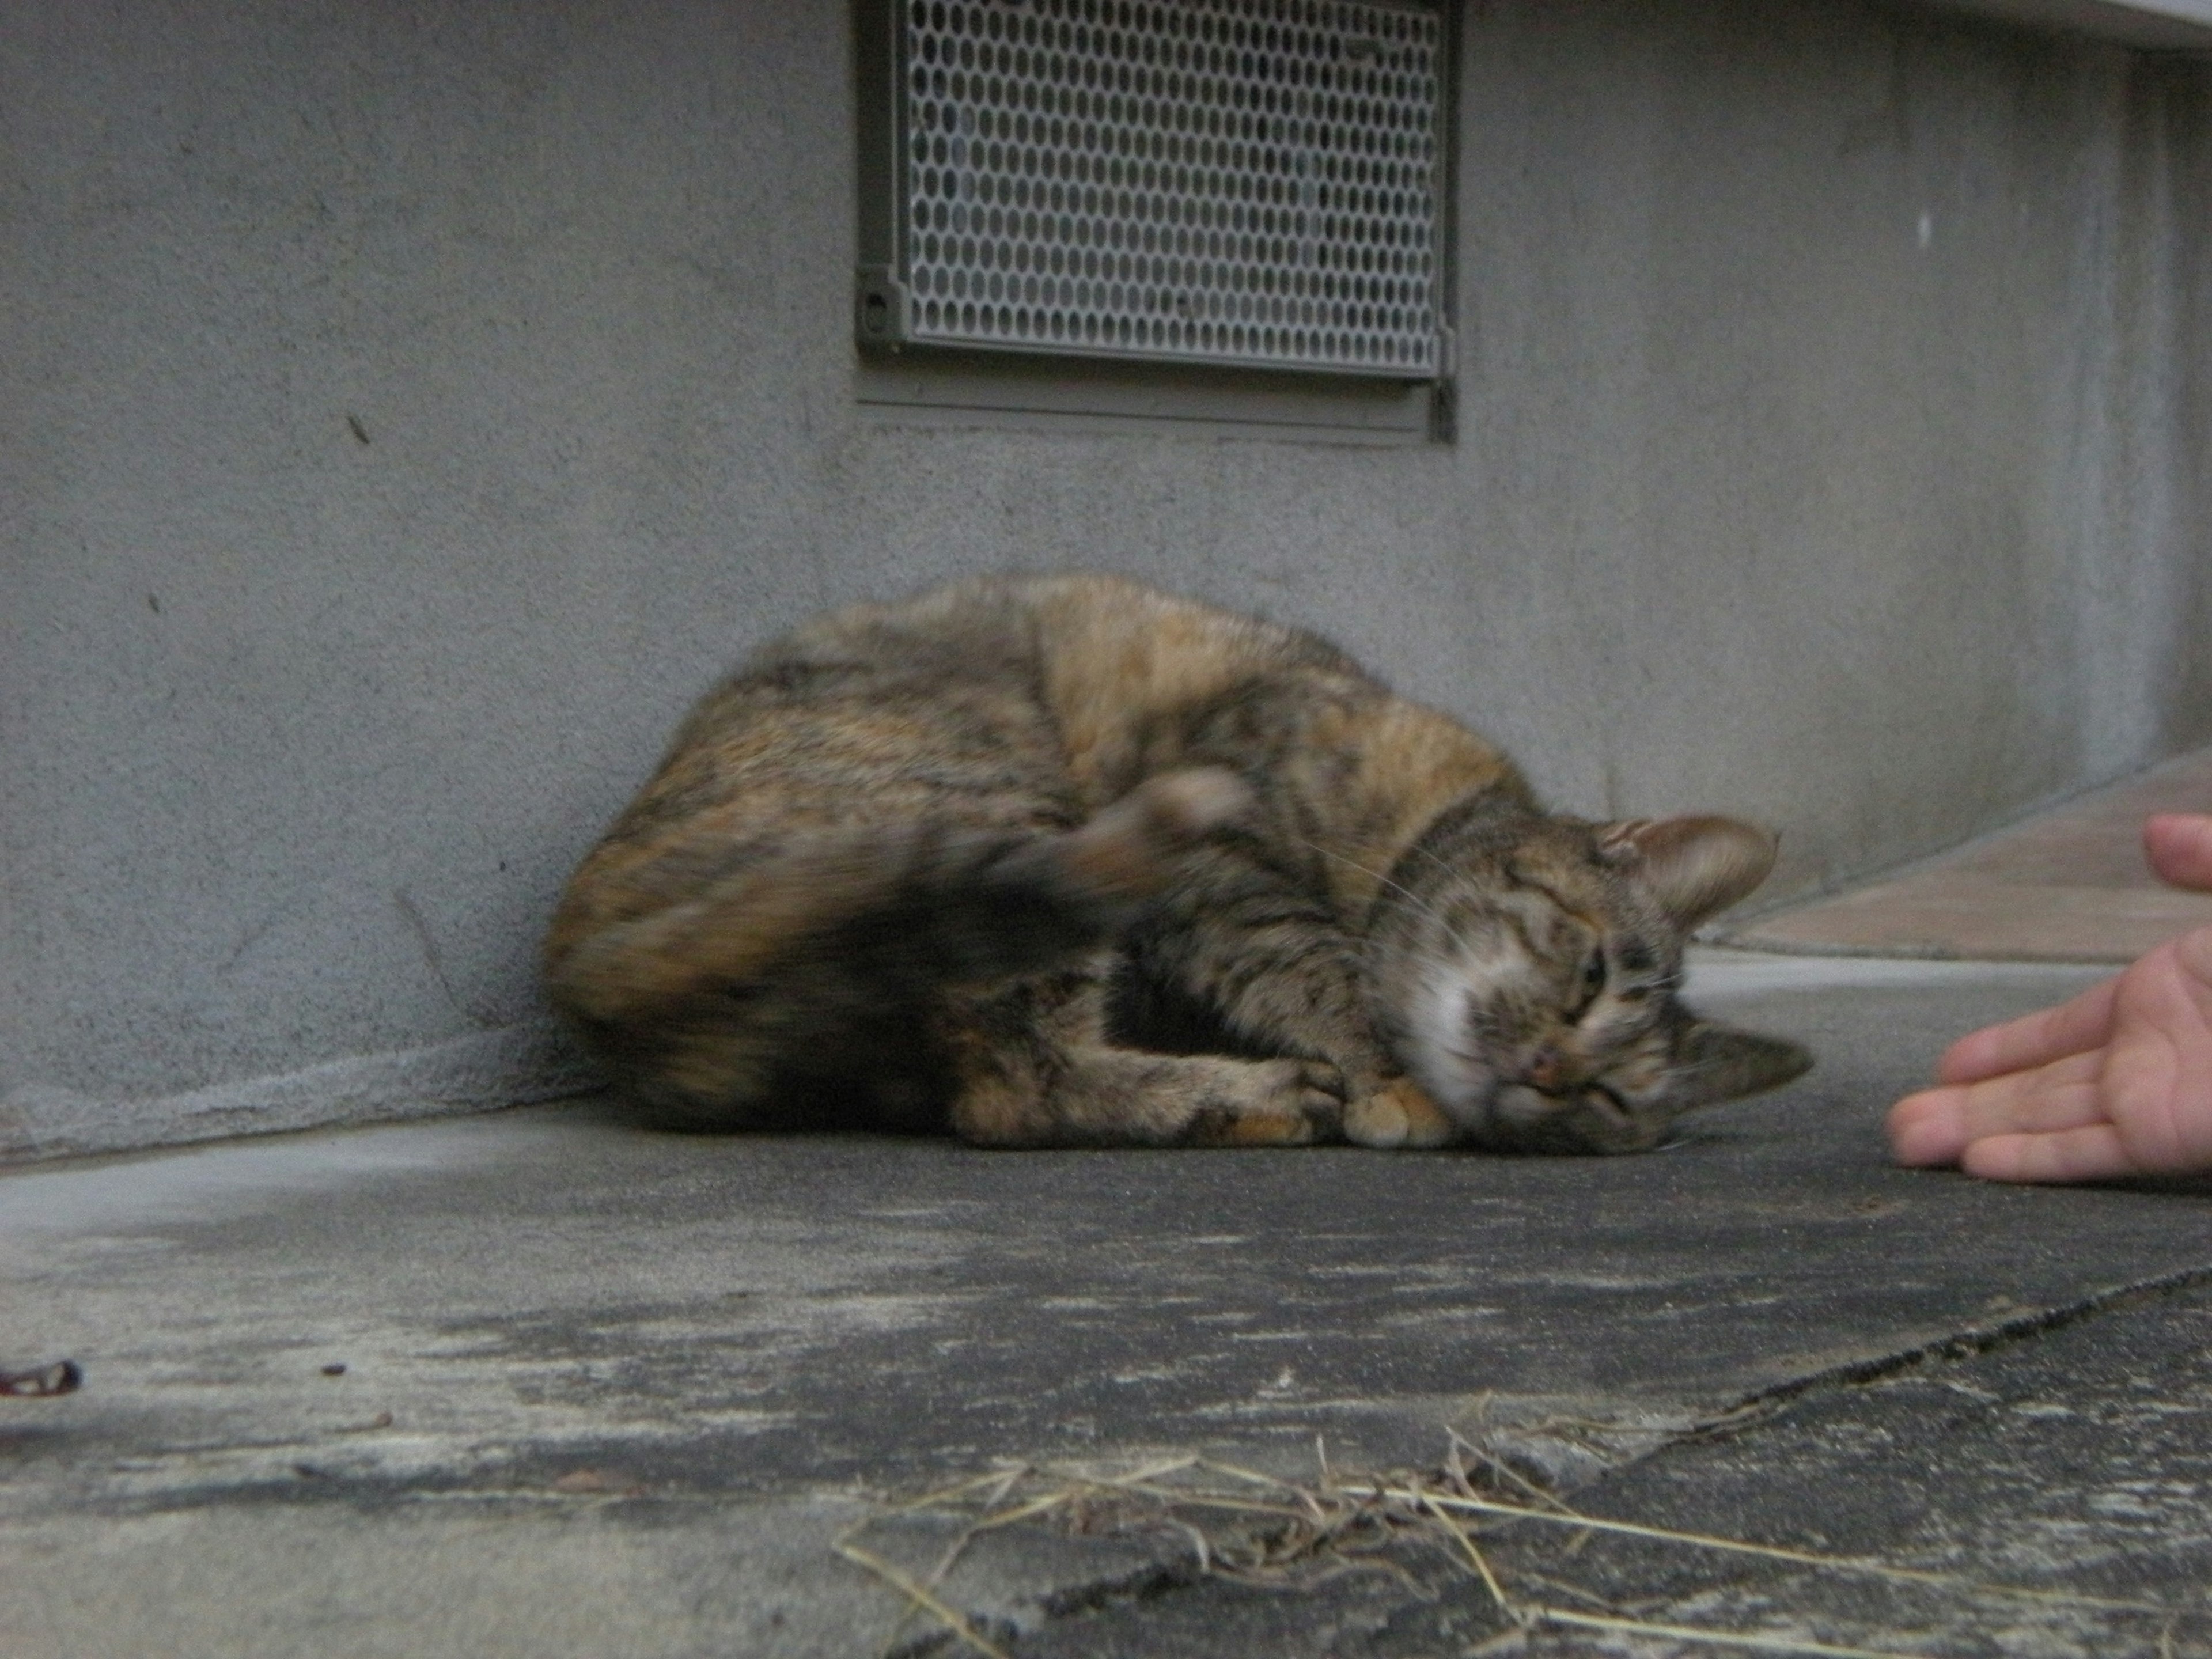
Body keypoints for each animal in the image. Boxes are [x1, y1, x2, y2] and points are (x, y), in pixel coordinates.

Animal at [544, 579, 1805, 1150]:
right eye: (1590, 977)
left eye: (1609, 1099)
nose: (1547, 1073)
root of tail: (585, 953)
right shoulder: (1221, 859)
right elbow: (1324, 971)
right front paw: (1386, 1080)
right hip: (1017, 807)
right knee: (1014, 1090)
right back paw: (1254, 1098)